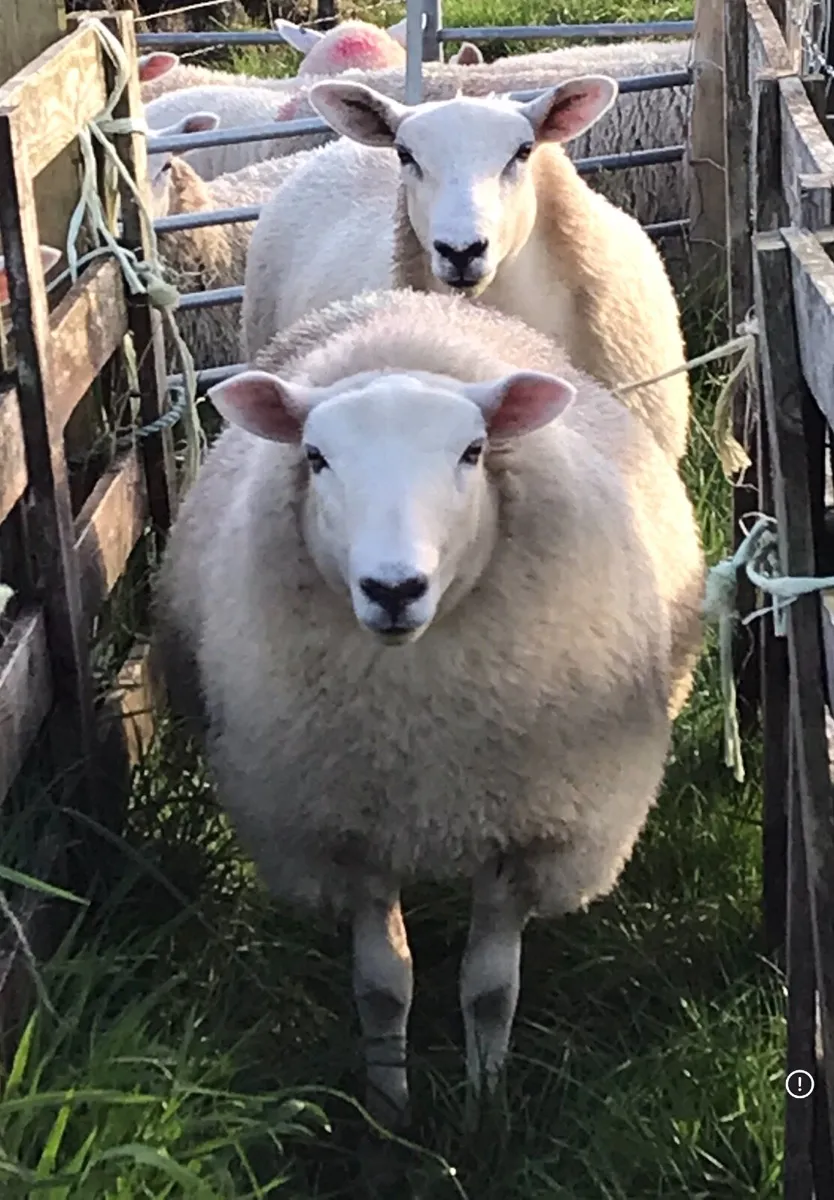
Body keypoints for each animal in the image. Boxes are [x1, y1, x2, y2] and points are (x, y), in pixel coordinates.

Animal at [151, 285, 705, 1124]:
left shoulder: (526, 832)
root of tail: (405, 302)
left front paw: (485, 1107)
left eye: (472, 452)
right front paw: (390, 1110)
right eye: (316, 458)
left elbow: (490, 990)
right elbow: (383, 988)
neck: (423, 735)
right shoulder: (349, 834)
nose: (393, 588)